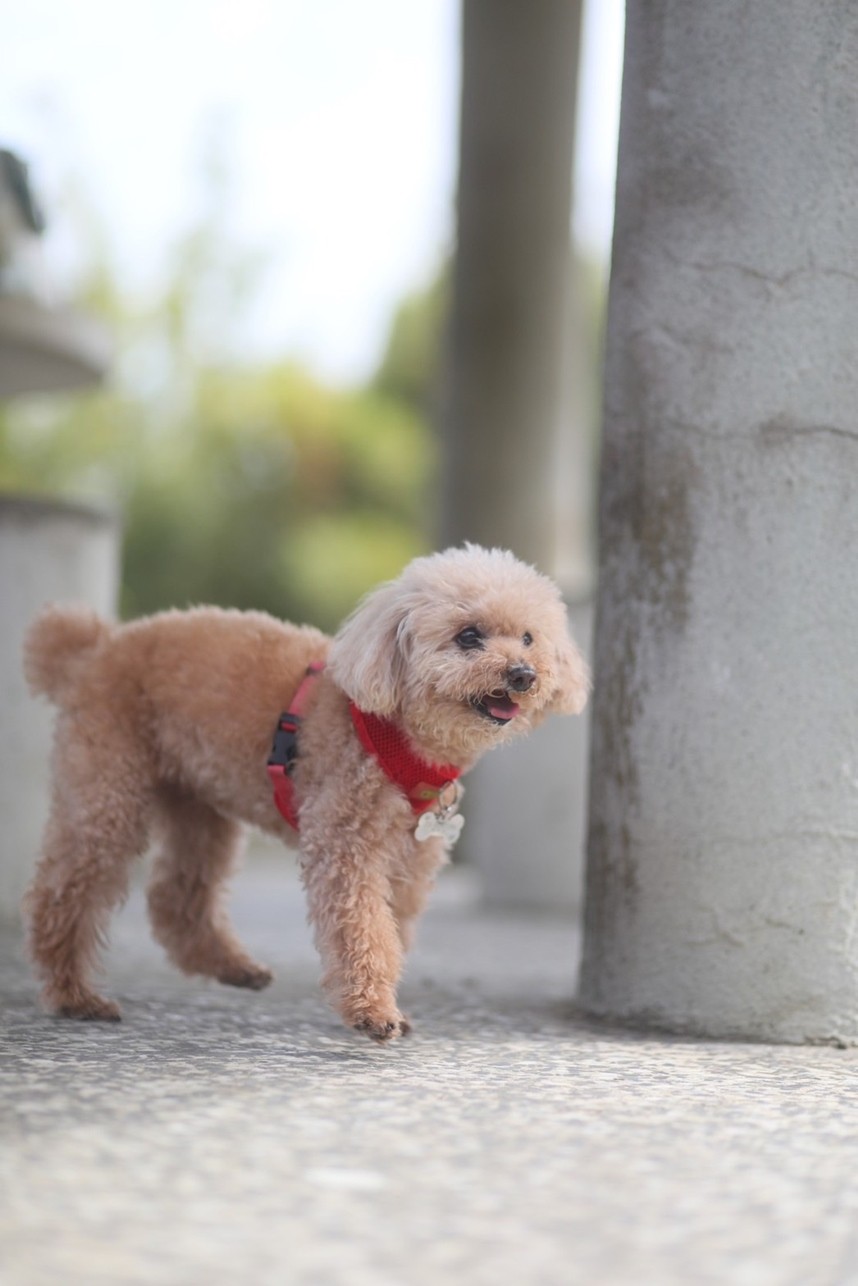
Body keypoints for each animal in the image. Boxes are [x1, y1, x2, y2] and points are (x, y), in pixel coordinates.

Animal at [25, 547, 591, 1039]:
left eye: (528, 638)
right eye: (469, 636)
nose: (523, 675)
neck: (396, 733)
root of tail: (95, 647)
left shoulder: (409, 863)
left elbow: (393, 929)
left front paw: (387, 1004)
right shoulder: (345, 845)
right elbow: (364, 927)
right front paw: (372, 1012)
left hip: (198, 805)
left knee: (176, 896)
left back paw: (233, 967)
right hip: (108, 792)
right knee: (62, 892)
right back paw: (74, 995)